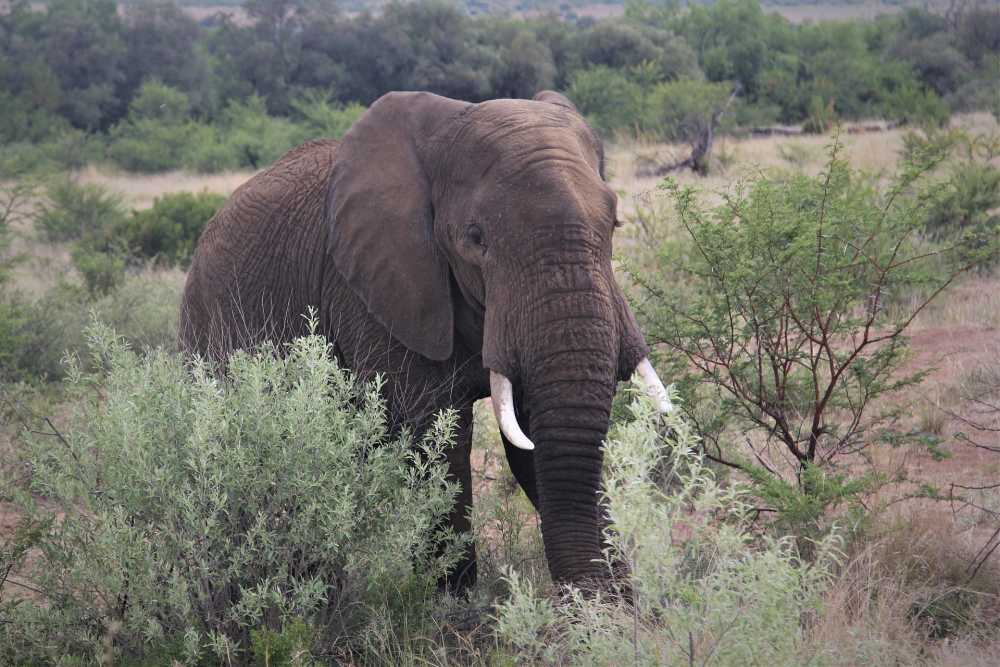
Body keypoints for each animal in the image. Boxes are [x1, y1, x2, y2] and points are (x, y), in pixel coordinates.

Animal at [182, 87, 672, 588]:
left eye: (614, 224)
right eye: (476, 238)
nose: (604, 596)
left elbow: (532, 437)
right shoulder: (373, 289)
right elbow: (433, 440)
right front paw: (458, 602)